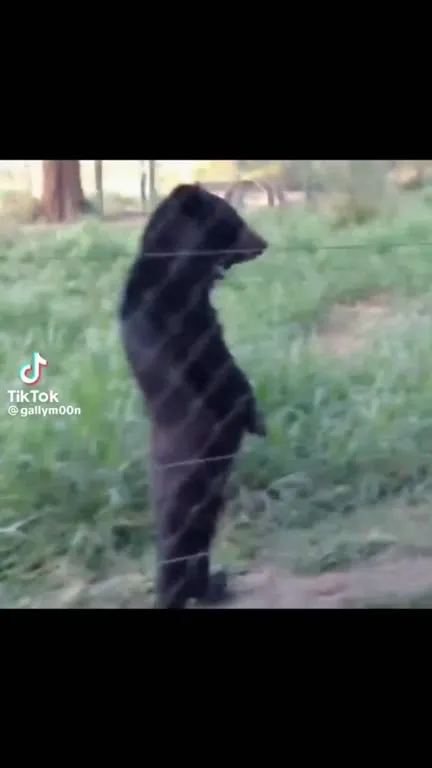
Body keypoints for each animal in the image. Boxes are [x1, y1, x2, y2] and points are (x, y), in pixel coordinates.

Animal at [119, 183, 268, 608]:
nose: (263, 244)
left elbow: (227, 364)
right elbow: (204, 375)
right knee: (176, 540)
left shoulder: (205, 317)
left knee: (199, 539)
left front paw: (256, 420)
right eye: (234, 221)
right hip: (182, 488)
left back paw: (212, 586)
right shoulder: (166, 320)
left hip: (208, 497)